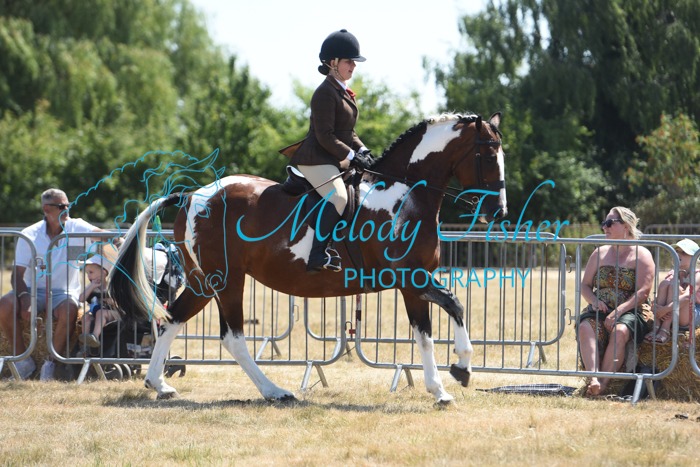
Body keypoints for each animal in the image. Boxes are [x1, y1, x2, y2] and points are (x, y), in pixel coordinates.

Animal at [110, 112, 507, 404]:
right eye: (488, 156)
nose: (499, 212)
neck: (403, 194)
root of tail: (192, 195)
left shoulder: (415, 281)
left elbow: (432, 326)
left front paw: (446, 381)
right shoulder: (410, 279)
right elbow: (450, 308)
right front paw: (455, 375)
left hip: (203, 281)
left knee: (171, 319)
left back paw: (158, 384)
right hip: (227, 280)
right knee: (233, 337)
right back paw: (275, 391)